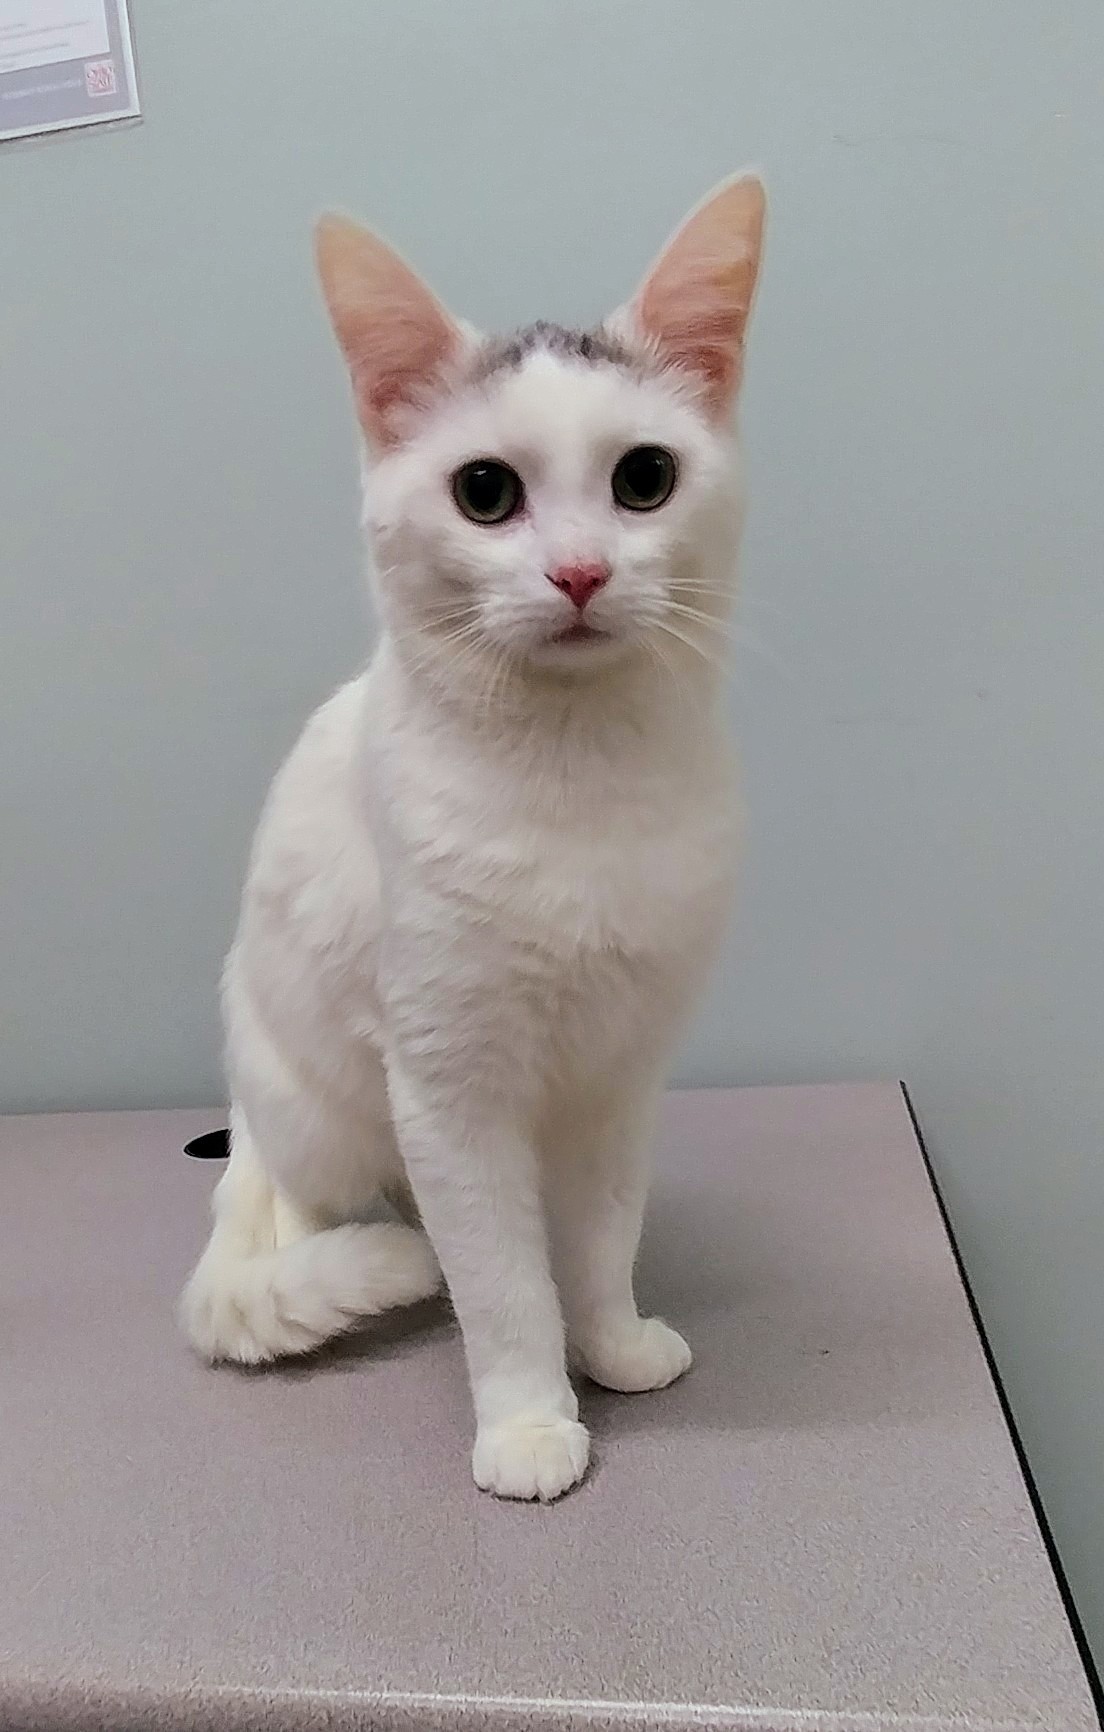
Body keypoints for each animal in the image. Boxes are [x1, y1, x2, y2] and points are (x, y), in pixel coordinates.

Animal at [182, 179, 766, 1503]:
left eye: (644, 478)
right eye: (486, 493)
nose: (581, 571)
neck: (582, 784)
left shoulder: (619, 1078)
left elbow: (598, 1243)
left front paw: (610, 1345)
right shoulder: (452, 1091)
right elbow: (501, 1285)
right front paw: (529, 1421)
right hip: (324, 1117)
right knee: (313, 1217)